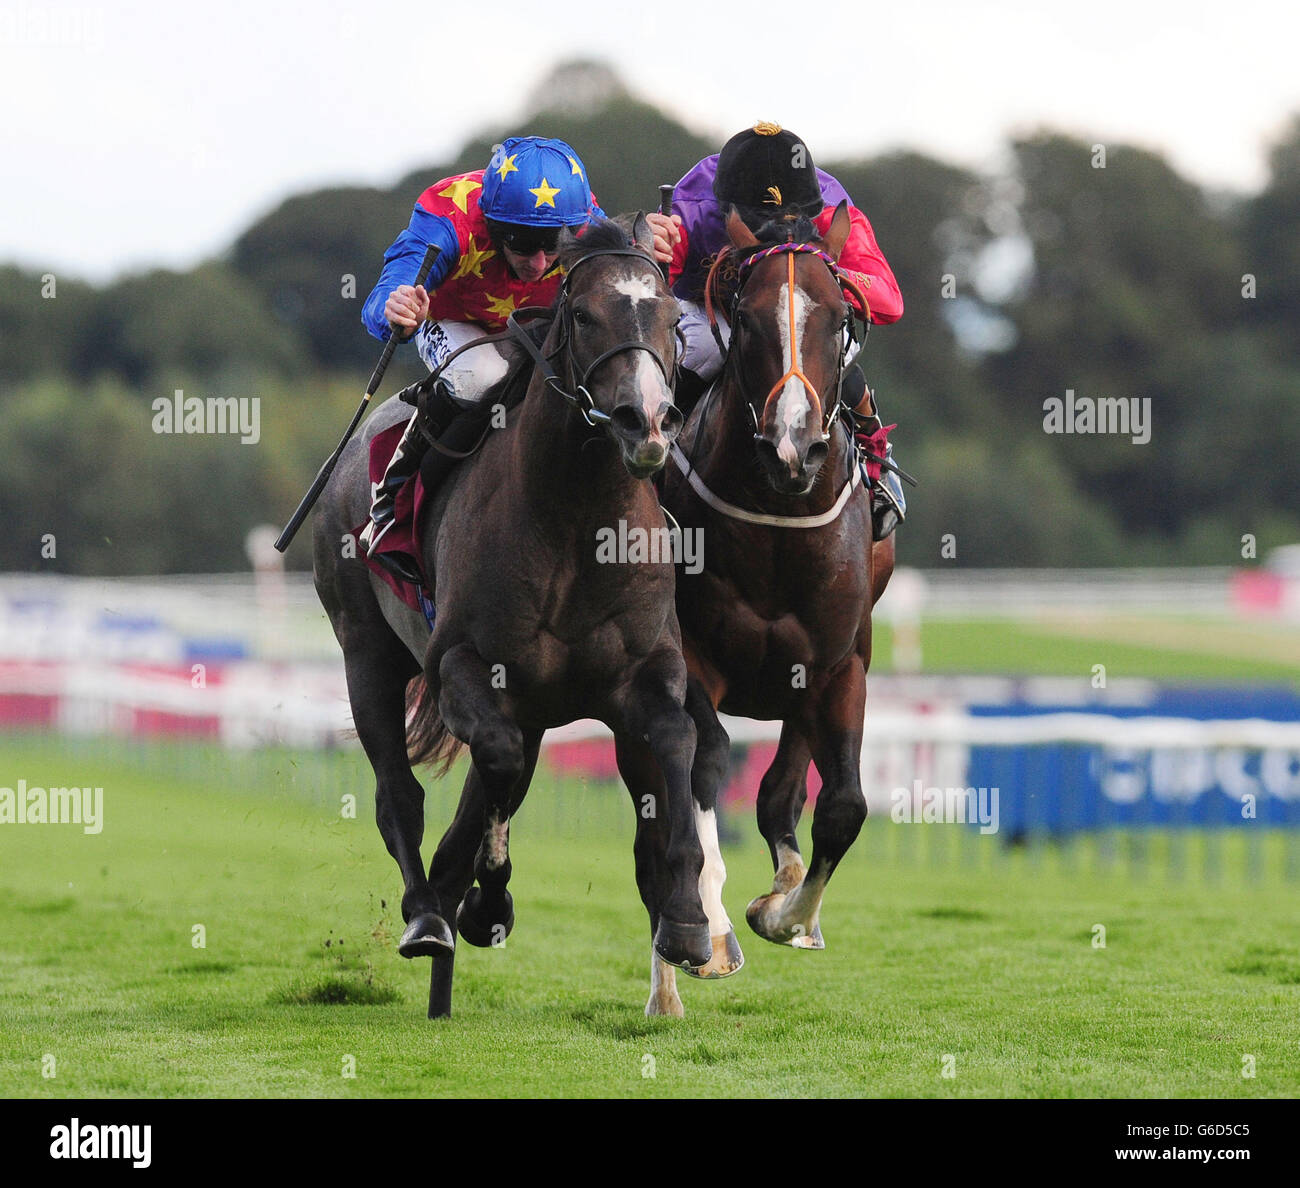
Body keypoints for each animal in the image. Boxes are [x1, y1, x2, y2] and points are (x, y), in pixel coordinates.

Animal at [313, 217, 717, 1013]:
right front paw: (483, 901)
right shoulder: (461, 666)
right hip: (366, 651)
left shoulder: (646, 673)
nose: (646, 423)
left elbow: (677, 742)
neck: (576, 521)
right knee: (398, 794)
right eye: (584, 315)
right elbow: (492, 768)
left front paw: (688, 923)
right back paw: (429, 914)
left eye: (667, 318)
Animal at [631, 204, 889, 1008]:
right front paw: (714, 932)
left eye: (840, 318)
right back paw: (669, 980)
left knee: (782, 791)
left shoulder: (840, 664)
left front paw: (785, 915)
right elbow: (704, 764)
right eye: (744, 319)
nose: (792, 448)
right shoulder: (689, 658)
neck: (778, 525)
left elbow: (843, 805)